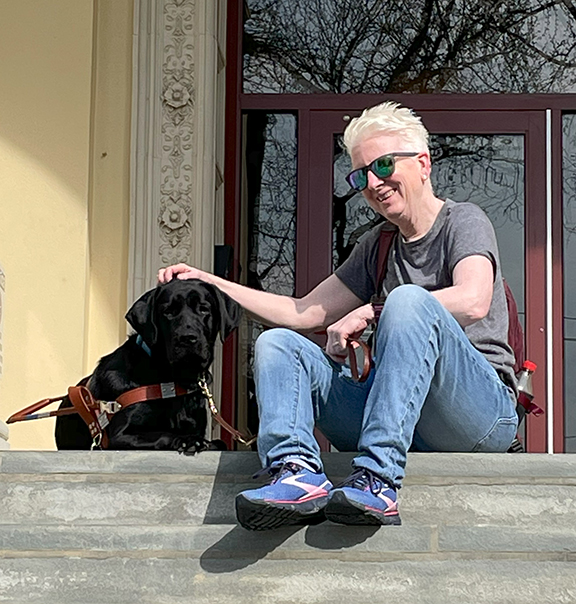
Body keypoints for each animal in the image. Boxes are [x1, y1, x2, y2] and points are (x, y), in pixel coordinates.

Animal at [54, 280, 241, 450]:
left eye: (204, 309)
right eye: (168, 312)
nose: (187, 338)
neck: (173, 381)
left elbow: (221, 442)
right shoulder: (120, 435)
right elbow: (163, 434)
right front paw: (187, 440)